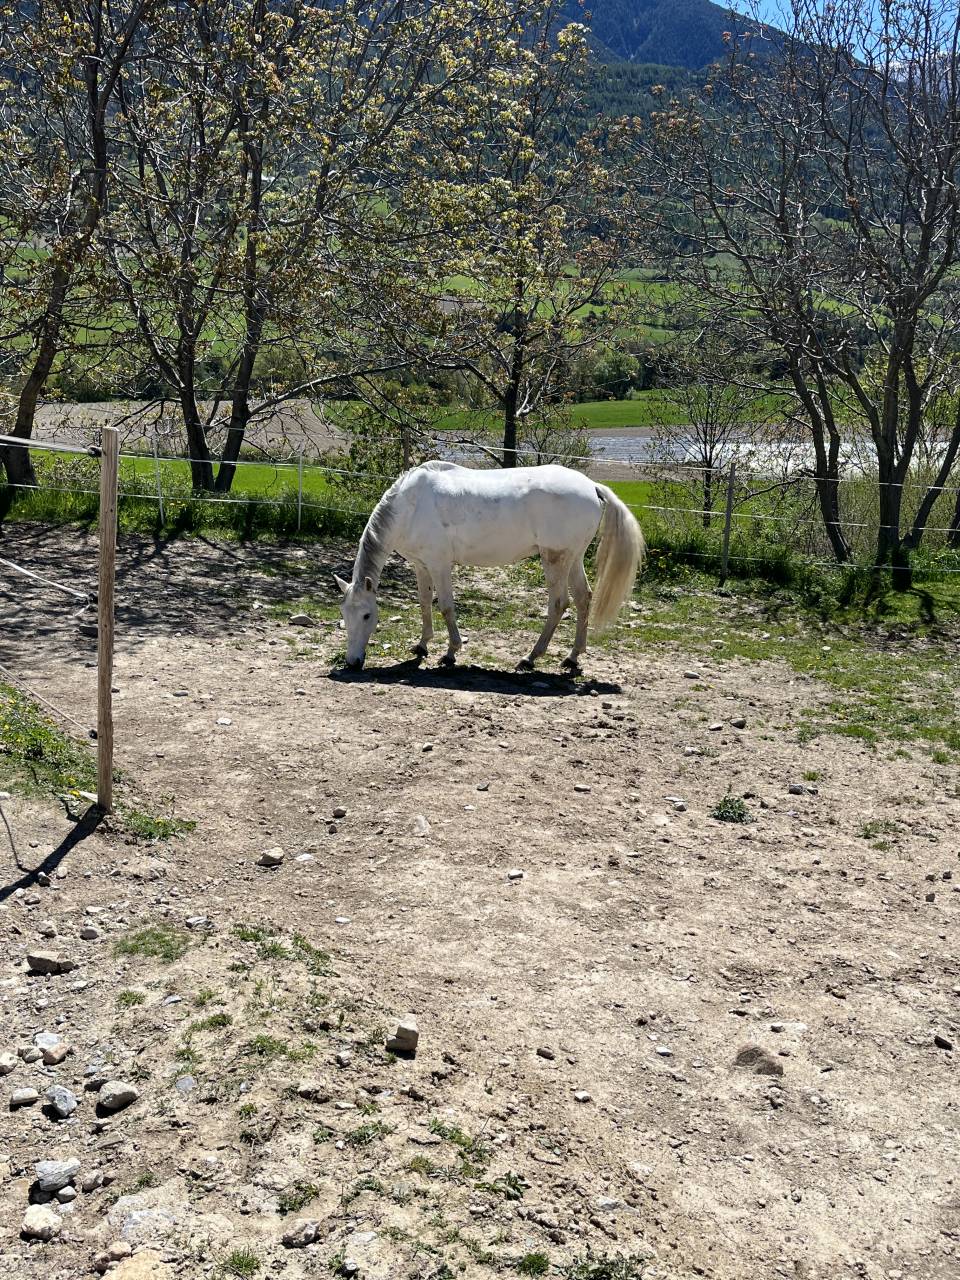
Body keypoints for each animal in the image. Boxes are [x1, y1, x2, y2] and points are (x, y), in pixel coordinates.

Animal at [334, 460, 645, 673]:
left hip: (554, 559)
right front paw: (422, 645)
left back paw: (530, 657)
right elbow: (424, 602)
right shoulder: (421, 565)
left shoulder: (439, 564)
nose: (352, 662)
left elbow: (445, 606)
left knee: (559, 604)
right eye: (344, 614)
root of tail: (592, 486)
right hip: (573, 558)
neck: (410, 506)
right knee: (583, 598)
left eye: (366, 615)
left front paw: (451, 652)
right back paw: (572, 657)